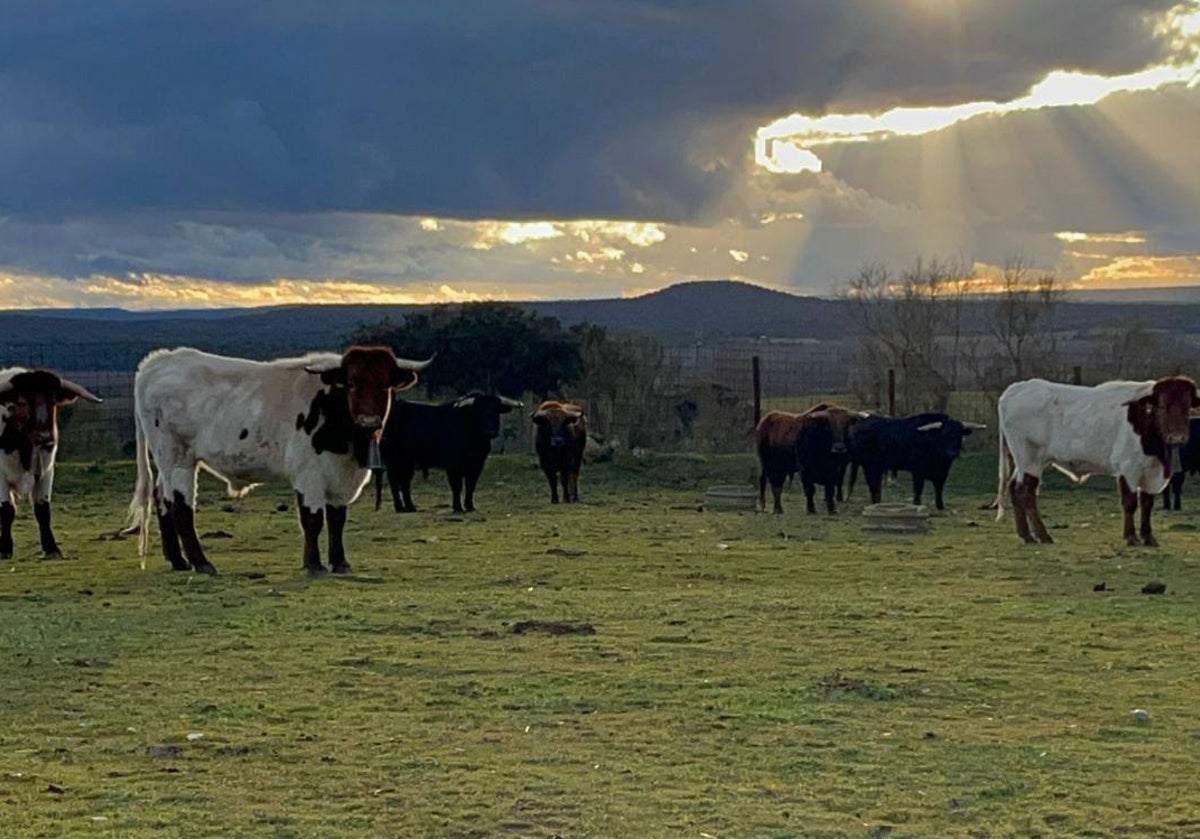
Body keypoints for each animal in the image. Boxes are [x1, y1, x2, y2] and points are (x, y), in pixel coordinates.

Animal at [0, 367, 102, 556]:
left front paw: (51, 547)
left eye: (53, 401)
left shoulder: (46, 472)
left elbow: (43, 509)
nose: (46, 438)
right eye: (22, 402)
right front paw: (5, 548)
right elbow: (7, 509)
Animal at [130, 345, 432, 573]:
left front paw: (340, 563)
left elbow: (337, 520)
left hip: (167, 462)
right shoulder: (308, 474)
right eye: (352, 384)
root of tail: (158, 362)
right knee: (181, 507)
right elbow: (313, 519)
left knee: (163, 498)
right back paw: (201, 563)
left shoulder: (339, 476)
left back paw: (178, 561)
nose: (368, 421)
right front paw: (314, 565)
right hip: (177, 458)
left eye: (384, 385)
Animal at [374, 391, 525, 516]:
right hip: (394, 460)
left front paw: (470, 506)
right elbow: (457, 486)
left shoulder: (476, 465)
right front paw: (457, 507)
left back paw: (410, 507)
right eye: (479, 411)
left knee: (405, 483)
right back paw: (399, 507)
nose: (491, 431)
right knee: (395, 482)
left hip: (407, 462)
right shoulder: (453, 466)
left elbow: (470, 486)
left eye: (496, 410)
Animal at [844, 410, 984, 508]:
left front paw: (940, 506)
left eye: (959, 435)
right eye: (944, 434)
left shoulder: (942, 473)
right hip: (869, 465)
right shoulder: (918, 472)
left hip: (877, 467)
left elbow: (939, 489)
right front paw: (917, 504)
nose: (952, 453)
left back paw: (878, 502)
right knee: (872, 484)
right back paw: (874, 502)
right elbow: (918, 490)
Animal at [993, 376, 1200, 547]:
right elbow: (1130, 503)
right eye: (1163, 406)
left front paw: (1148, 538)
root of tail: (1017, 388)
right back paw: (1042, 536)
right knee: (1026, 492)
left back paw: (1026, 535)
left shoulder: (1151, 473)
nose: (1177, 437)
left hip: (1024, 461)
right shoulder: (1128, 468)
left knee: (1014, 488)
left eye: (1187, 408)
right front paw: (1131, 537)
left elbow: (1147, 504)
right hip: (1030, 459)